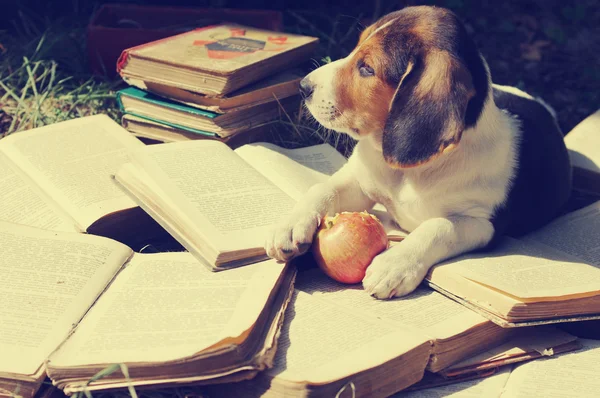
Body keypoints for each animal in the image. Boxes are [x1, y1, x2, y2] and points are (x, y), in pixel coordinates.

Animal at [264, 5, 572, 298]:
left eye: (367, 68)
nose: (303, 86)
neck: (407, 172)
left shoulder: (484, 223)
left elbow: (437, 227)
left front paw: (394, 265)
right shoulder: (358, 181)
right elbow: (321, 189)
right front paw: (290, 225)